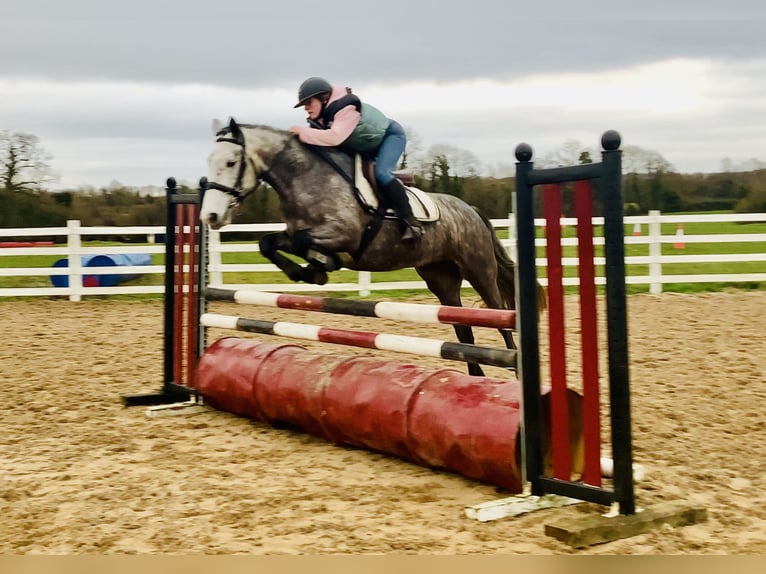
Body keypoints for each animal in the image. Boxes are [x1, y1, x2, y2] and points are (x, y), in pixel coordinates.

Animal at [200, 118, 545, 377]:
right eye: (209, 162)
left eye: (231, 162)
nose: (210, 216)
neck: (305, 179)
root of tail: (471, 210)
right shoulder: (294, 232)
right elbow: (267, 242)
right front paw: (308, 272)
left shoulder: (345, 234)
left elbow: (304, 244)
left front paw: (321, 267)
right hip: (441, 278)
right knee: (462, 328)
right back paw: (475, 377)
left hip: (479, 269)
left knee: (499, 314)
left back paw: (513, 369)